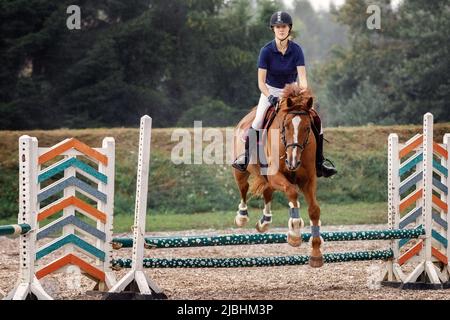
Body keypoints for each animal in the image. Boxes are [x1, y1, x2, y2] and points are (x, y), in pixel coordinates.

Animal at [232, 84, 324, 268]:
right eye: (286, 126)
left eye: (307, 128)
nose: (293, 162)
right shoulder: (276, 175)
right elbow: (292, 192)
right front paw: (294, 233)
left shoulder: (308, 180)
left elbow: (314, 210)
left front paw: (316, 253)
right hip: (241, 171)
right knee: (243, 189)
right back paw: (242, 217)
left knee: (268, 192)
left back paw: (264, 222)